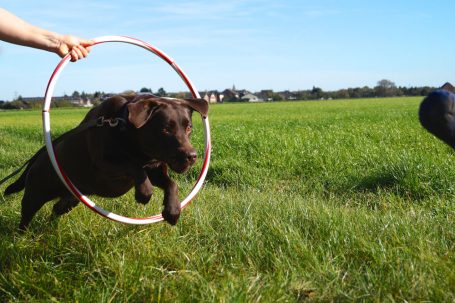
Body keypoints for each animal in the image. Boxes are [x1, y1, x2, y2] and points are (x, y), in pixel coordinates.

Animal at [1, 95, 208, 230]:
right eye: (165, 129)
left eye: (189, 127)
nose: (192, 156)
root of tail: (37, 159)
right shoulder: (104, 164)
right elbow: (133, 166)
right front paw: (143, 193)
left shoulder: (156, 169)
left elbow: (171, 184)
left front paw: (172, 211)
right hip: (35, 194)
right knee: (26, 216)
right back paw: (23, 237)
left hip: (70, 198)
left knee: (56, 208)